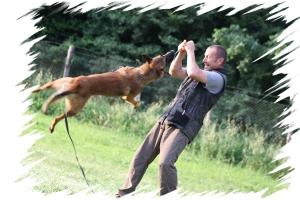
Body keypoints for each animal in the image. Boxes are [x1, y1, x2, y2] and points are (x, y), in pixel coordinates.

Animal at [31, 51, 175, 133]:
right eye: (163, 56)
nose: (173, 51)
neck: (141, 73)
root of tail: (77, 84)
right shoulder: (127, 97)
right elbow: (135, 102)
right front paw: (135, 106)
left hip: (61, 82)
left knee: (46, 87)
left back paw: (34, 90)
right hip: (74, 109)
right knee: (57, 117)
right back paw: (52, 127)